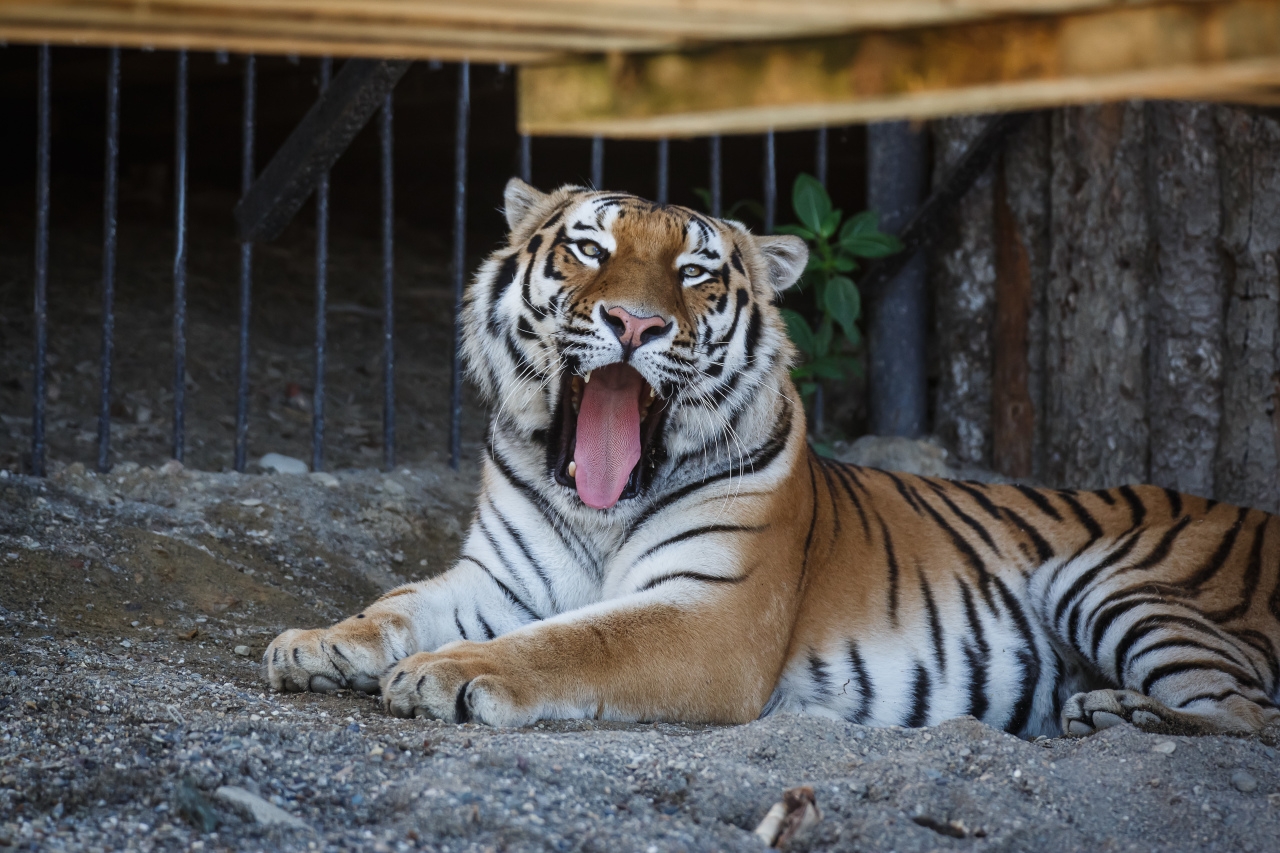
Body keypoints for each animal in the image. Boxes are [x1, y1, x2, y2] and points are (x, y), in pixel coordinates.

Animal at [262, 175, 1280, 732]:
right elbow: (398, 602)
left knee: (1250, 715)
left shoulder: (711, 613)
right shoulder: (498, 578)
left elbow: (577, 638)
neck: (602, 508)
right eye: (590, 250)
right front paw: (318, 644)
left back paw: (1127, 711)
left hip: (1113, 585)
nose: (634, 323)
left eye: (695, 273)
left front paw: (449, 674)